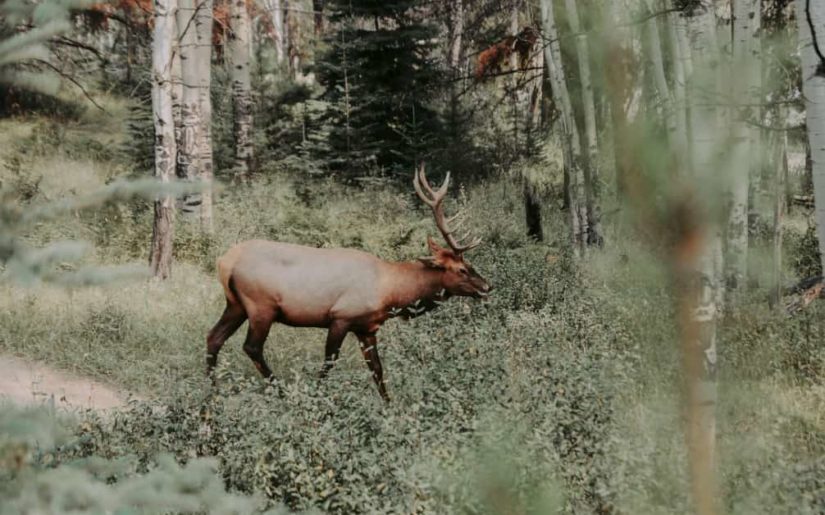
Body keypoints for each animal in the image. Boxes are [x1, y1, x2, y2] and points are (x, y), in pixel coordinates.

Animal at [206, 166, 490, 404]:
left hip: (235, 304)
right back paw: (281, 392)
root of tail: (224, 262)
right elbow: (329, 362)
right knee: (251, 347)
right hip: (260, 306)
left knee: (213, 337)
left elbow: (377, 370)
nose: (487, 287)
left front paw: (390, 407)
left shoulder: (367, 328)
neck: (390, 294)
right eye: (461, 269)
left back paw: (212, 399)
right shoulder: (341, 317)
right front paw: (317, 398)